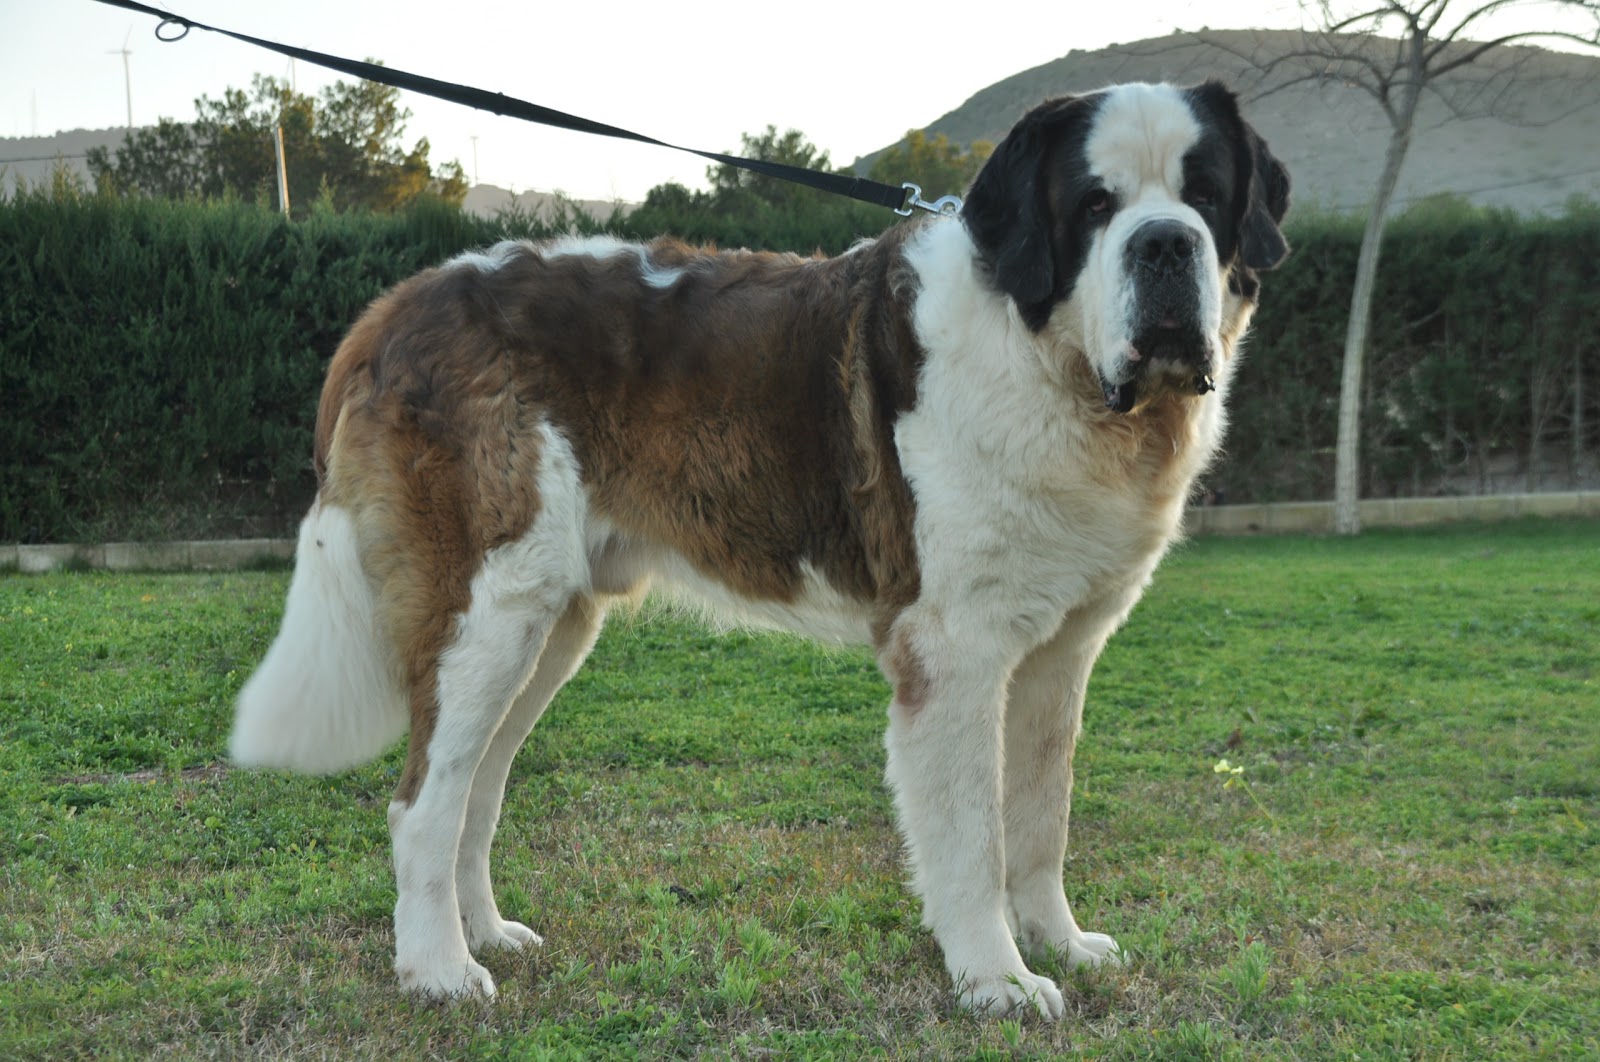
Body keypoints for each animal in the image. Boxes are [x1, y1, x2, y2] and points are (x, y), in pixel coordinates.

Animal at [233, 80, 1286, 1023]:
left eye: (1205, 195)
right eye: (1094, 205)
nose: (1164, 243)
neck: (1049, 364)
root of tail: (398, 304)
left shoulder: (1061, 653)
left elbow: (1040, 819)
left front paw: (1059, 944)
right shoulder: (954, 653)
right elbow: (974, 838)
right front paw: (998, 982)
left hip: (547, 621)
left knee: (475, 788)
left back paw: (484, 934)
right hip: (486, 607)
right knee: (423, 801)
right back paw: (439, 973)